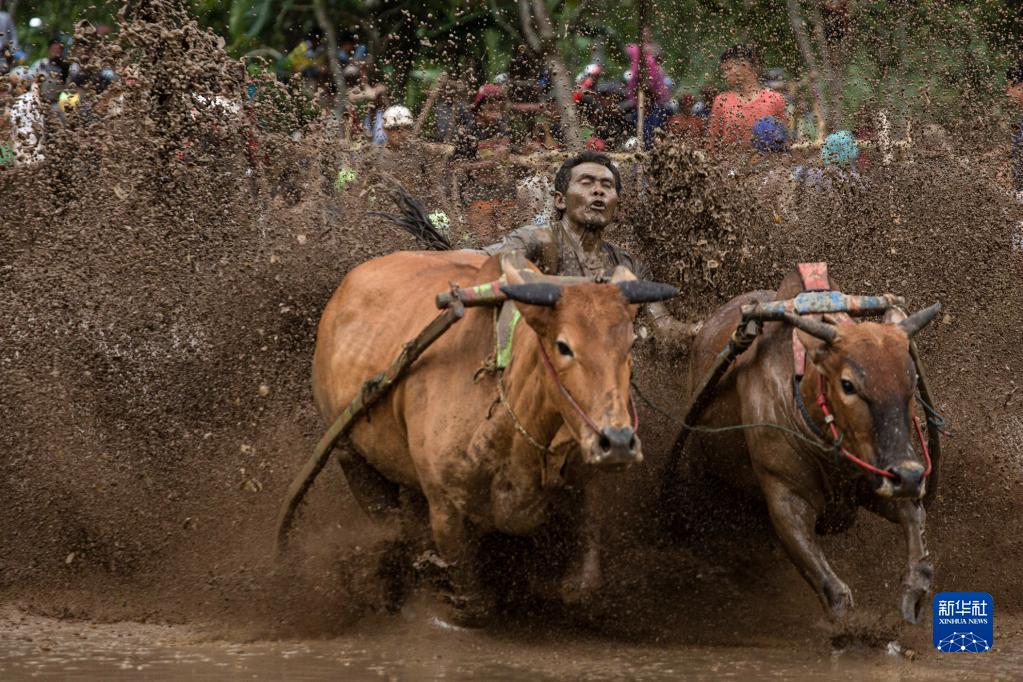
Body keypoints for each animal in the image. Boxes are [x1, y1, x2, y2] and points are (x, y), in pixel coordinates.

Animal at [311, 250, 677, 623]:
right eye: (563, 346)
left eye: (630, 344)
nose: (617, 442)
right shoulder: (445, 508)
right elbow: (474, 605)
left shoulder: (580, 487)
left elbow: (583, 587)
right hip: (351, 457)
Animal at [680, 268, 940, 625]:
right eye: (848, 384)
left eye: (912, 380)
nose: (910, 475)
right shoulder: (785, 499)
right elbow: (834, 590)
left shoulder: (876, 478)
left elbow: (915, 526)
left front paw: (913, 596)